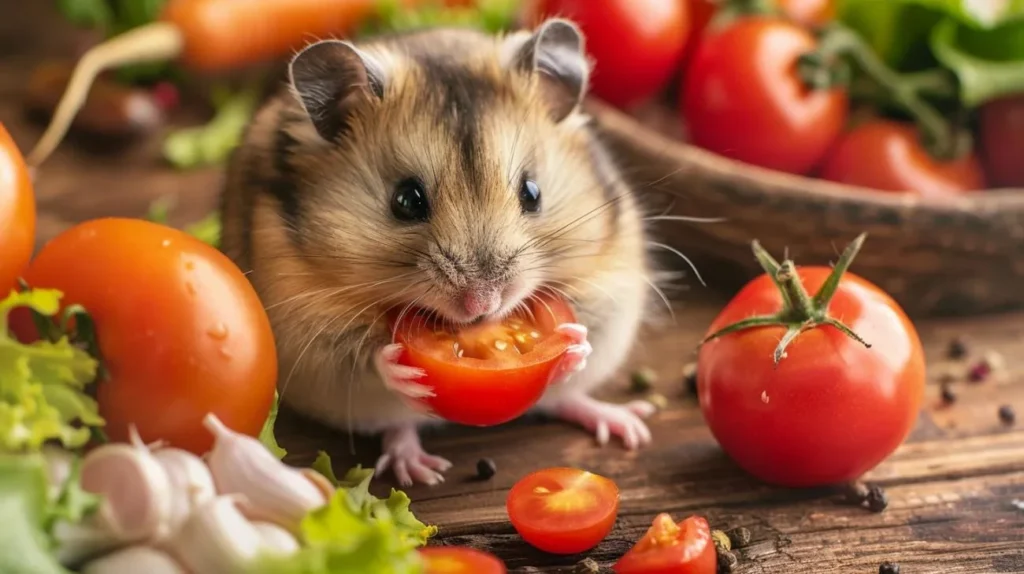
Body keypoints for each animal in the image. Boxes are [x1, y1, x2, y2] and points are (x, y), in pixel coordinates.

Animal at [219, 18, 659, 486]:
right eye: (406, 200)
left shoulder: (610, 277)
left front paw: (573, 342)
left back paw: (629, 426)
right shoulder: (305, 323)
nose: (483, 306)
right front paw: (399, 367)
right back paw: (420, 472)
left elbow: (586, 326)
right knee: (398, 426)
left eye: (532, 193)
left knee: (566, 400)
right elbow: (364, 358)